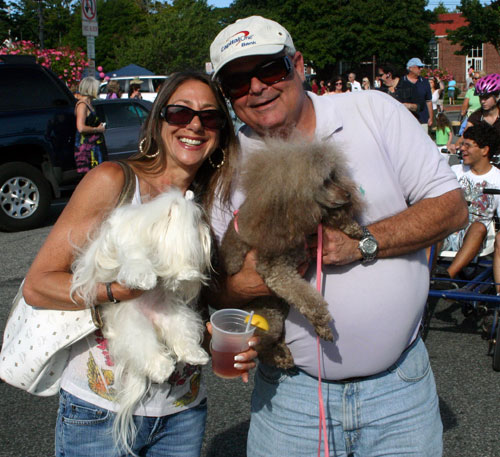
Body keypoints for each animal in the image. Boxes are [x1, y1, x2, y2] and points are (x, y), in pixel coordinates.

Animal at [70, 188, 211, 452]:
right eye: (196, 220)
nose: (207, 232)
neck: (153, 231)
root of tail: (153, 319)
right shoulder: (124, 242)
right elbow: (135, 258)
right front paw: (144, 277)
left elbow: (178, 268)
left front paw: (184, 273)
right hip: (135, 326)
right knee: (146, 351)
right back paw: (163, 367)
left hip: (177, 317)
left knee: (182, 339)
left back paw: (197, 354)